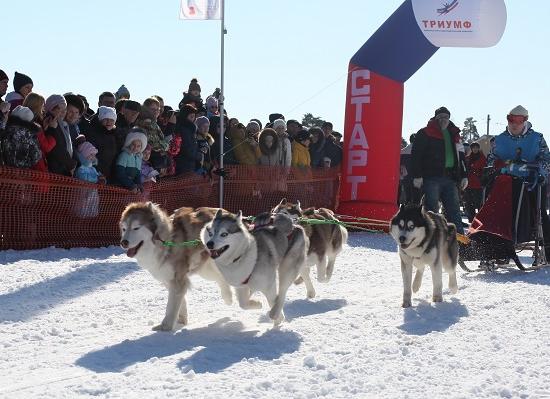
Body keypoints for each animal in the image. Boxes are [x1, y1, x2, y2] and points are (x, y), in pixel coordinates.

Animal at [121, 203, 233, 332]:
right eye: (124, 229)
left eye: (136, 228)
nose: (123, 242)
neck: (166, 241)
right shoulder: (169, 279)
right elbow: (180, 301)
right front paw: (181, 321)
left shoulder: (177, 280)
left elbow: (171, 305)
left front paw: (166, 326)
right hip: (206, 269)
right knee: (220, 278)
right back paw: (228, 297)